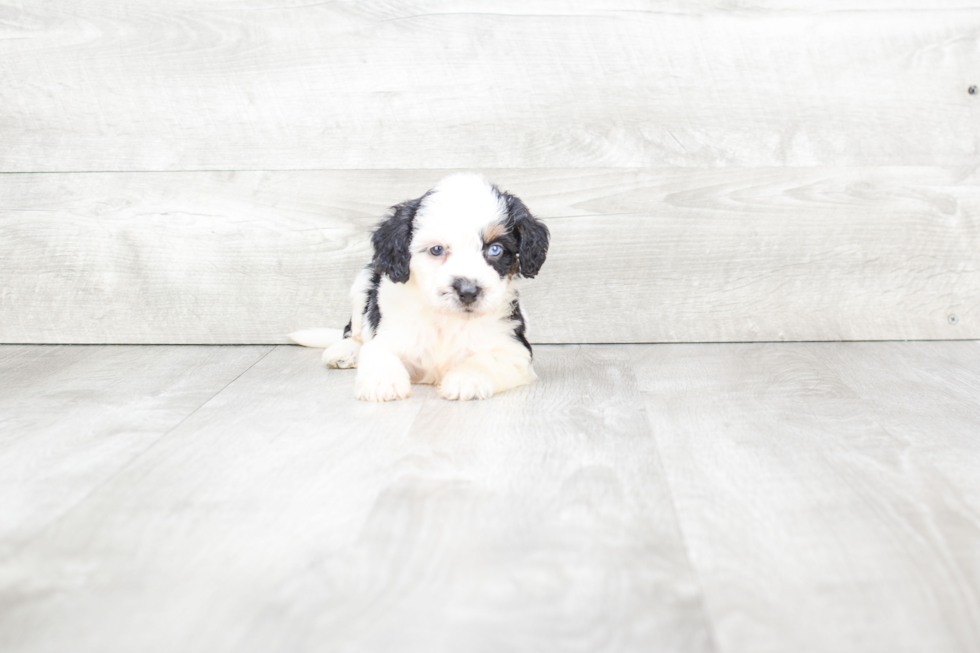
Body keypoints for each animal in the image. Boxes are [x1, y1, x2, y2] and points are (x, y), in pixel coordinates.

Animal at [290, 171, 552, 400]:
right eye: (436, 250)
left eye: (495, 249)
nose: (468, 292)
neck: (445, 319)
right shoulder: (390, 334)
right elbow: (378, 352)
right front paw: (382, 382)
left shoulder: (515, 349)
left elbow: (487, 359)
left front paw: (467, 379)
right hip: (363, 281)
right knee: (354, 332)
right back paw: (345, 351)